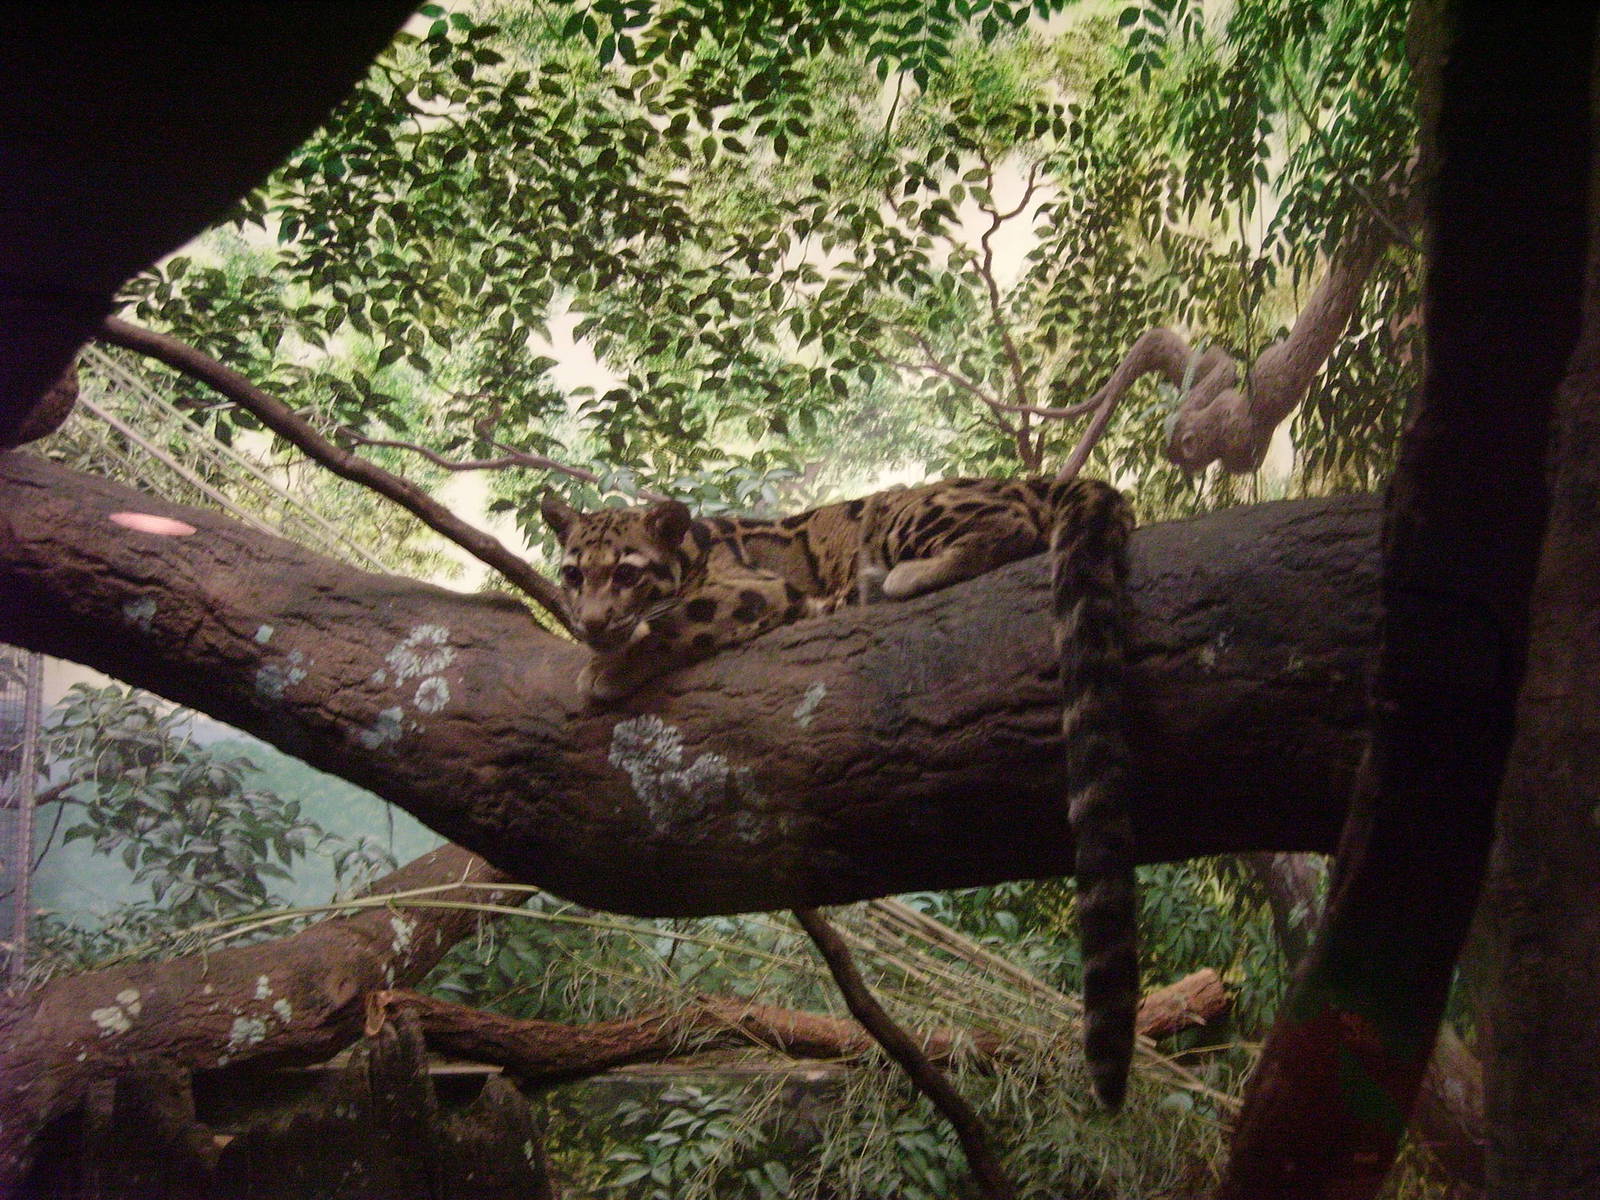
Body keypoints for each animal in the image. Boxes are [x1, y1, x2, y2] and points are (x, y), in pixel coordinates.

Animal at [541, 475, 1139, 1109]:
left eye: (627, 574)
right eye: (573, 573)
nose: (591, 622)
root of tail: (1040, 480)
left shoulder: (757, 590)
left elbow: (680, 622)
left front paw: (607, 668)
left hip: (898, 510)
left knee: (1012, 529)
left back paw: (888, 582)